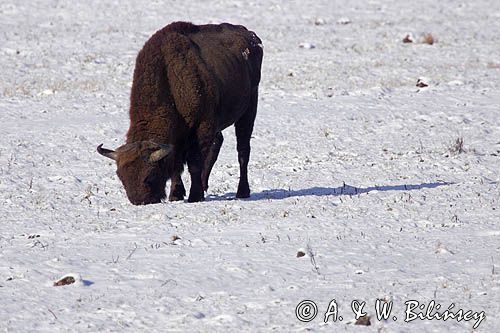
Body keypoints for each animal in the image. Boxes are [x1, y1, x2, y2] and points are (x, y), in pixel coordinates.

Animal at [95, 21, 264, 205]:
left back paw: (242, 191)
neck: (169, 80)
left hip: (249, 110)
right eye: (121, 176)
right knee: (217, 144)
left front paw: (194, 196)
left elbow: (194, 162)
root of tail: (251, 36)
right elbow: (177, 165)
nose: (139, 200)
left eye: (150, 175)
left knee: (243, 150)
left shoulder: (201, 127)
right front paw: (175, 194)